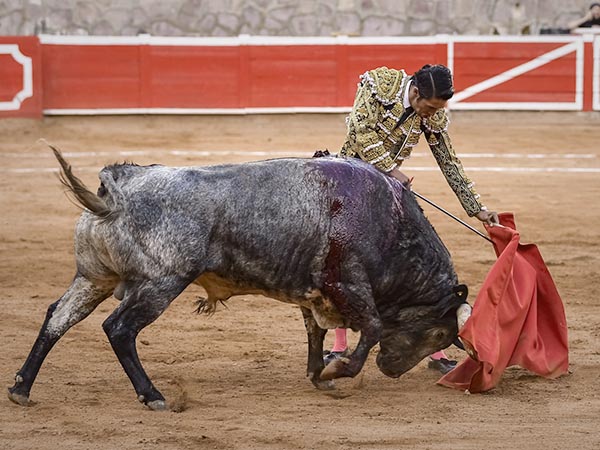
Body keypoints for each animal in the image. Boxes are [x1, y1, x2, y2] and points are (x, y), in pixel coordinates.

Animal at [7, 149, 472, 412]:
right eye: (438, 332)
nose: (391, 370)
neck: (391, 226)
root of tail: (117, 190)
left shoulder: (313, 291)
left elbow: (314, 333)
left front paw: (318, 375)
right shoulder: (349, 283)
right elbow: (371, 327)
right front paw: (339, 369)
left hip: (94, 277)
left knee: (57, 318)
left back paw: (21, 388)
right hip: (161, 283)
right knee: (118, 329)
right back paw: (153, 395)